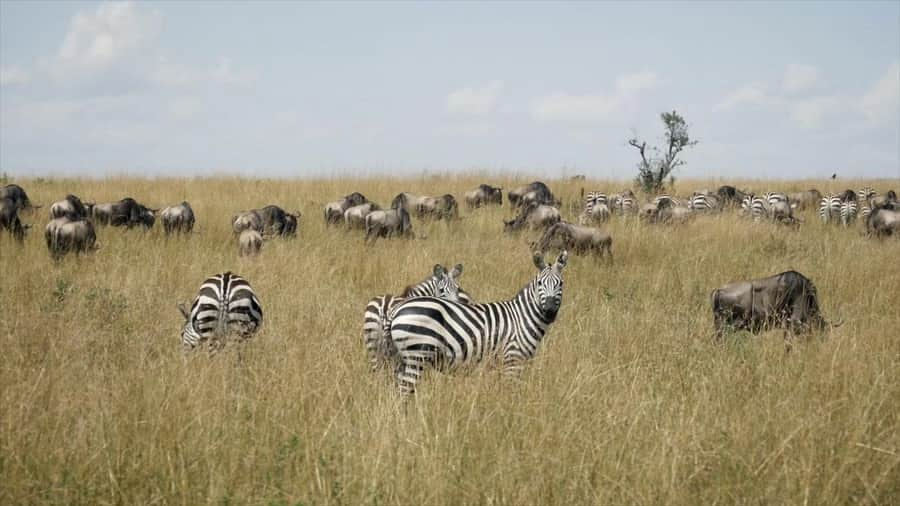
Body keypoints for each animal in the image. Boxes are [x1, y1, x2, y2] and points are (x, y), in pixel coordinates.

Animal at [386, 251, 568, 398]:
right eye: (540, 284)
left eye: (560, 284)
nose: (550, 311)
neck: (522, 317)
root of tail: (397, 309)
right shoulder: (513, 359)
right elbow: (510, 393)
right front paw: (509, 412)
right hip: (417, 356)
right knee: (403, 394)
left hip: (403, 360)